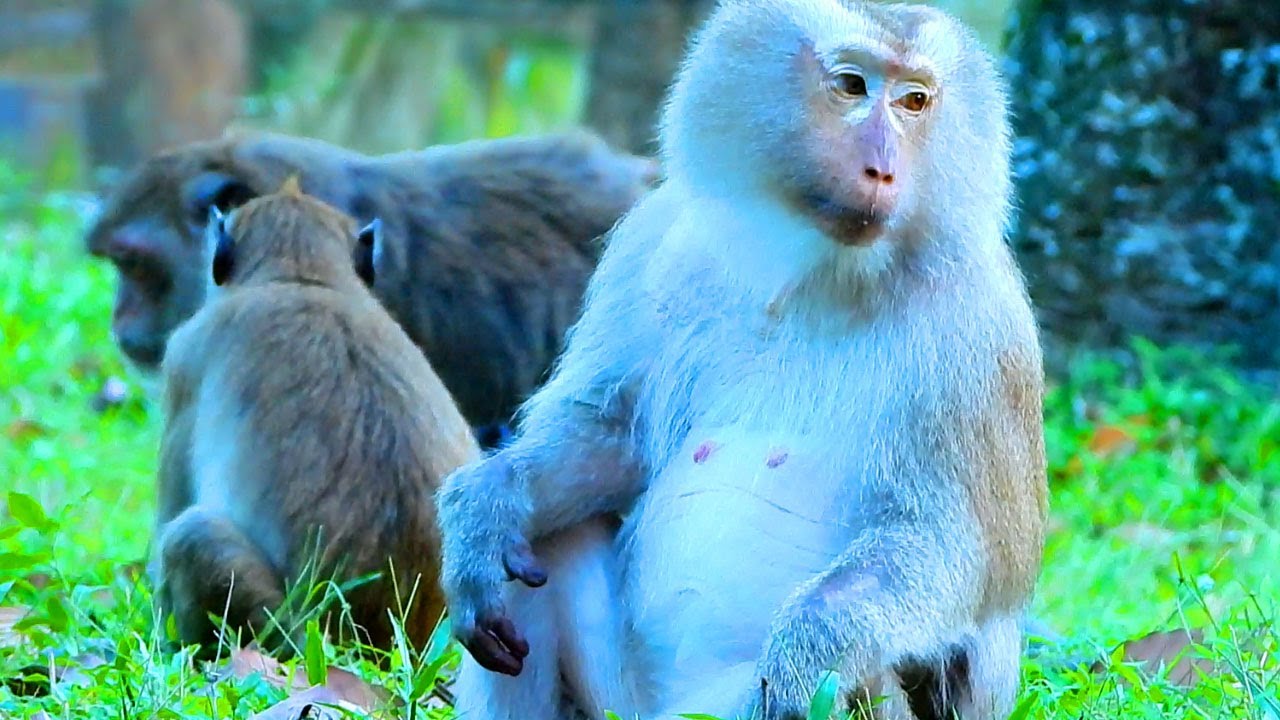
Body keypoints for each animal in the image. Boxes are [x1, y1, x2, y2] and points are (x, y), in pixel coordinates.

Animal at [433, 1, 1047, 719]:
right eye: (851, 86)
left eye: (914, 101)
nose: (884, 169)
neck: (812, 271)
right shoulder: (654, 243)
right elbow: (611, 434)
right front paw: (487, 504)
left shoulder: (981, 330)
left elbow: (951, 548)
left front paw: (810, 646)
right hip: (623, 700)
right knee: (543, 542)